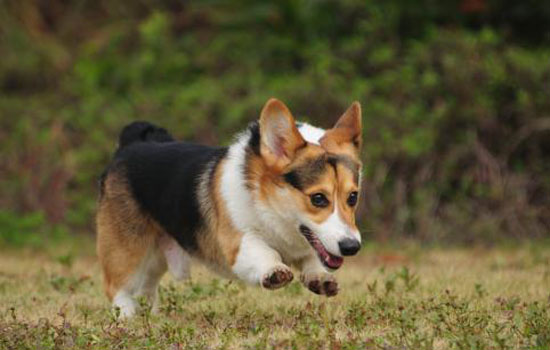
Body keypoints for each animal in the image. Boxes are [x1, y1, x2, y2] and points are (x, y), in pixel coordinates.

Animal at [97, 98, 364, 318]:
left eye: (352, 197)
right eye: (318, 198)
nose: (352, 247)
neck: (269, 204)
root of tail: (130, 144)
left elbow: (313, 258)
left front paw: (320, 278)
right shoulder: (236, 240)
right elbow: (262, 251)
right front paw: (274, 270)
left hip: (155, 257)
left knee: (146, 287)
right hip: (128, 251)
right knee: (117, 287)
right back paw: (128, 316)